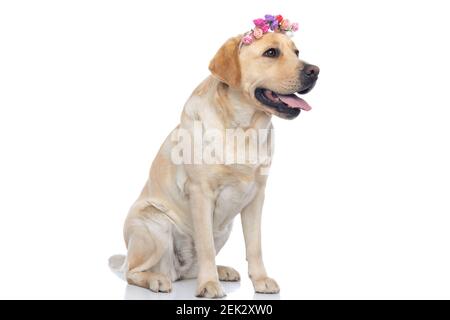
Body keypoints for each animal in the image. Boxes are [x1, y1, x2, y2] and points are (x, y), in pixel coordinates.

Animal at [110, 26, 318, 298]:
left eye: (296, 52)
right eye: (271, 52)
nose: (315, 70)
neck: (244, 129)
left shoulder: (257, 196)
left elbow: (255, 245)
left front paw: (260, 280)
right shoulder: (201, 193)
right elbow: (205, 245)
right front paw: (209, 284)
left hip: (223, 229)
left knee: (188, 269)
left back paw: (221, 270)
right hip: (154, 226)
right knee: (132, 272)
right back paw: (157, 279)